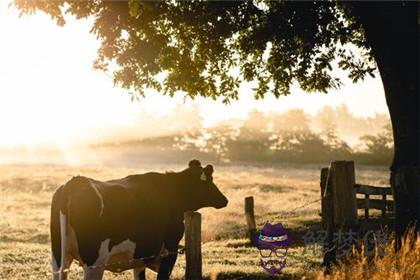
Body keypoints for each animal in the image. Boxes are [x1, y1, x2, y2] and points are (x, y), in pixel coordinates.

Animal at [50, 160, 228, 280]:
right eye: (210, 181)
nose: (224, 199)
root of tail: (75, 182)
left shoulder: (141, 256)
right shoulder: (169, 250)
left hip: (59, 258)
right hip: (94, 263)